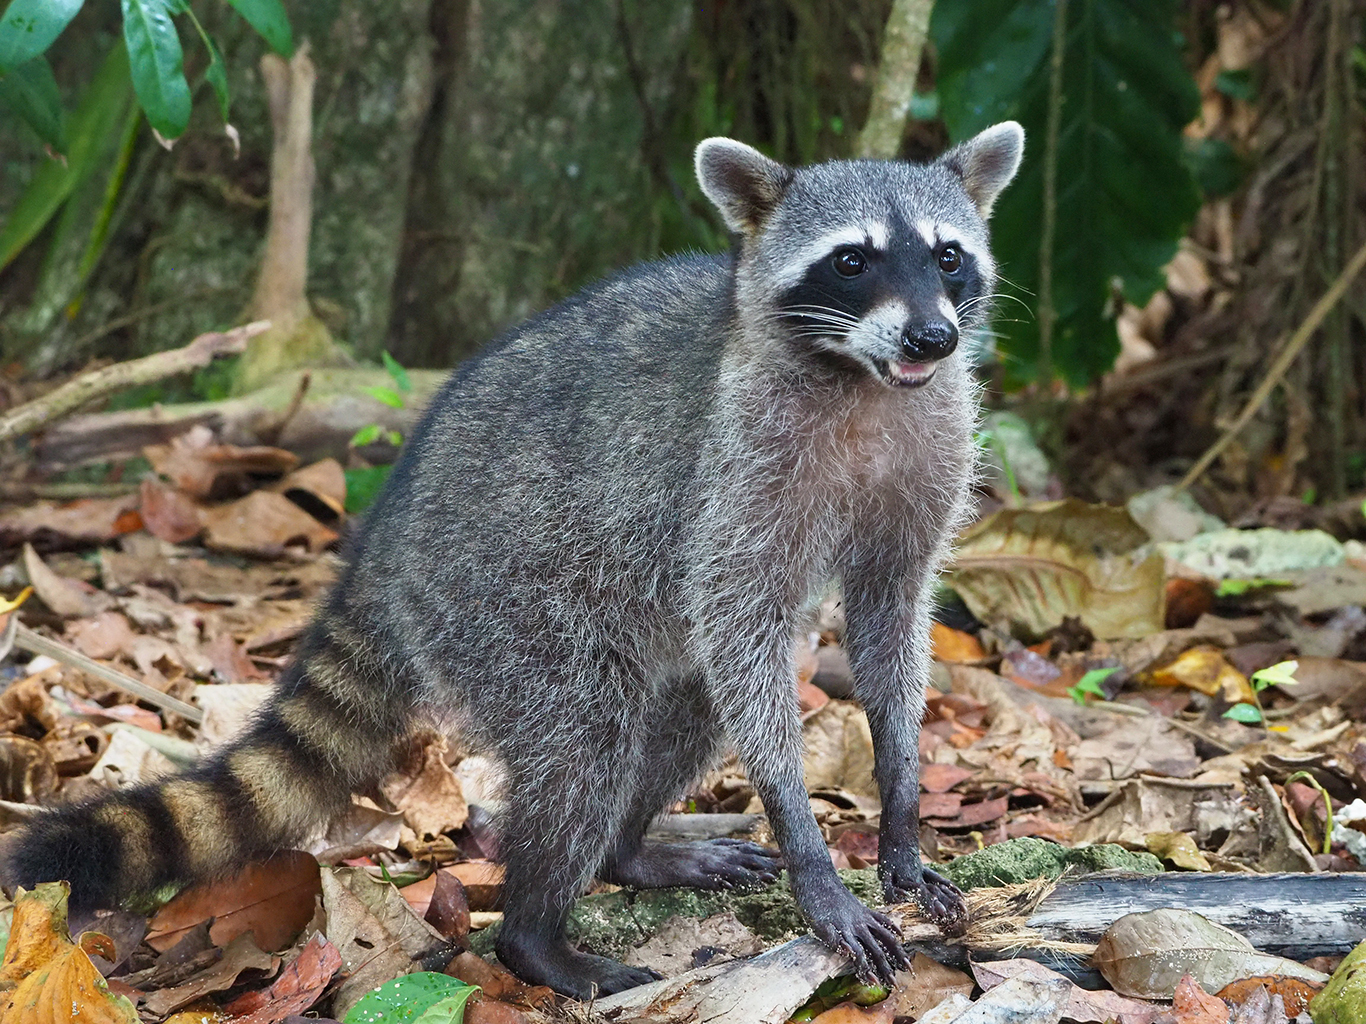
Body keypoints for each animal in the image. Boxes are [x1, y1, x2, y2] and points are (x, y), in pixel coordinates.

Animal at [2, 122, 1027, 1004]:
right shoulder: (737, 467)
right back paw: (538, 930)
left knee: (687, 706)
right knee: (589, 733)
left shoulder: (931, 449)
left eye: (947, 256)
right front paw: (808, 842)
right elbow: (743, 626)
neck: (866, 379)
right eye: (852, 261)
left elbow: (889, 617)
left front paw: (901, 799)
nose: (934, 337)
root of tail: (389, 534)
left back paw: (624, 849)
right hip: (504, 596)